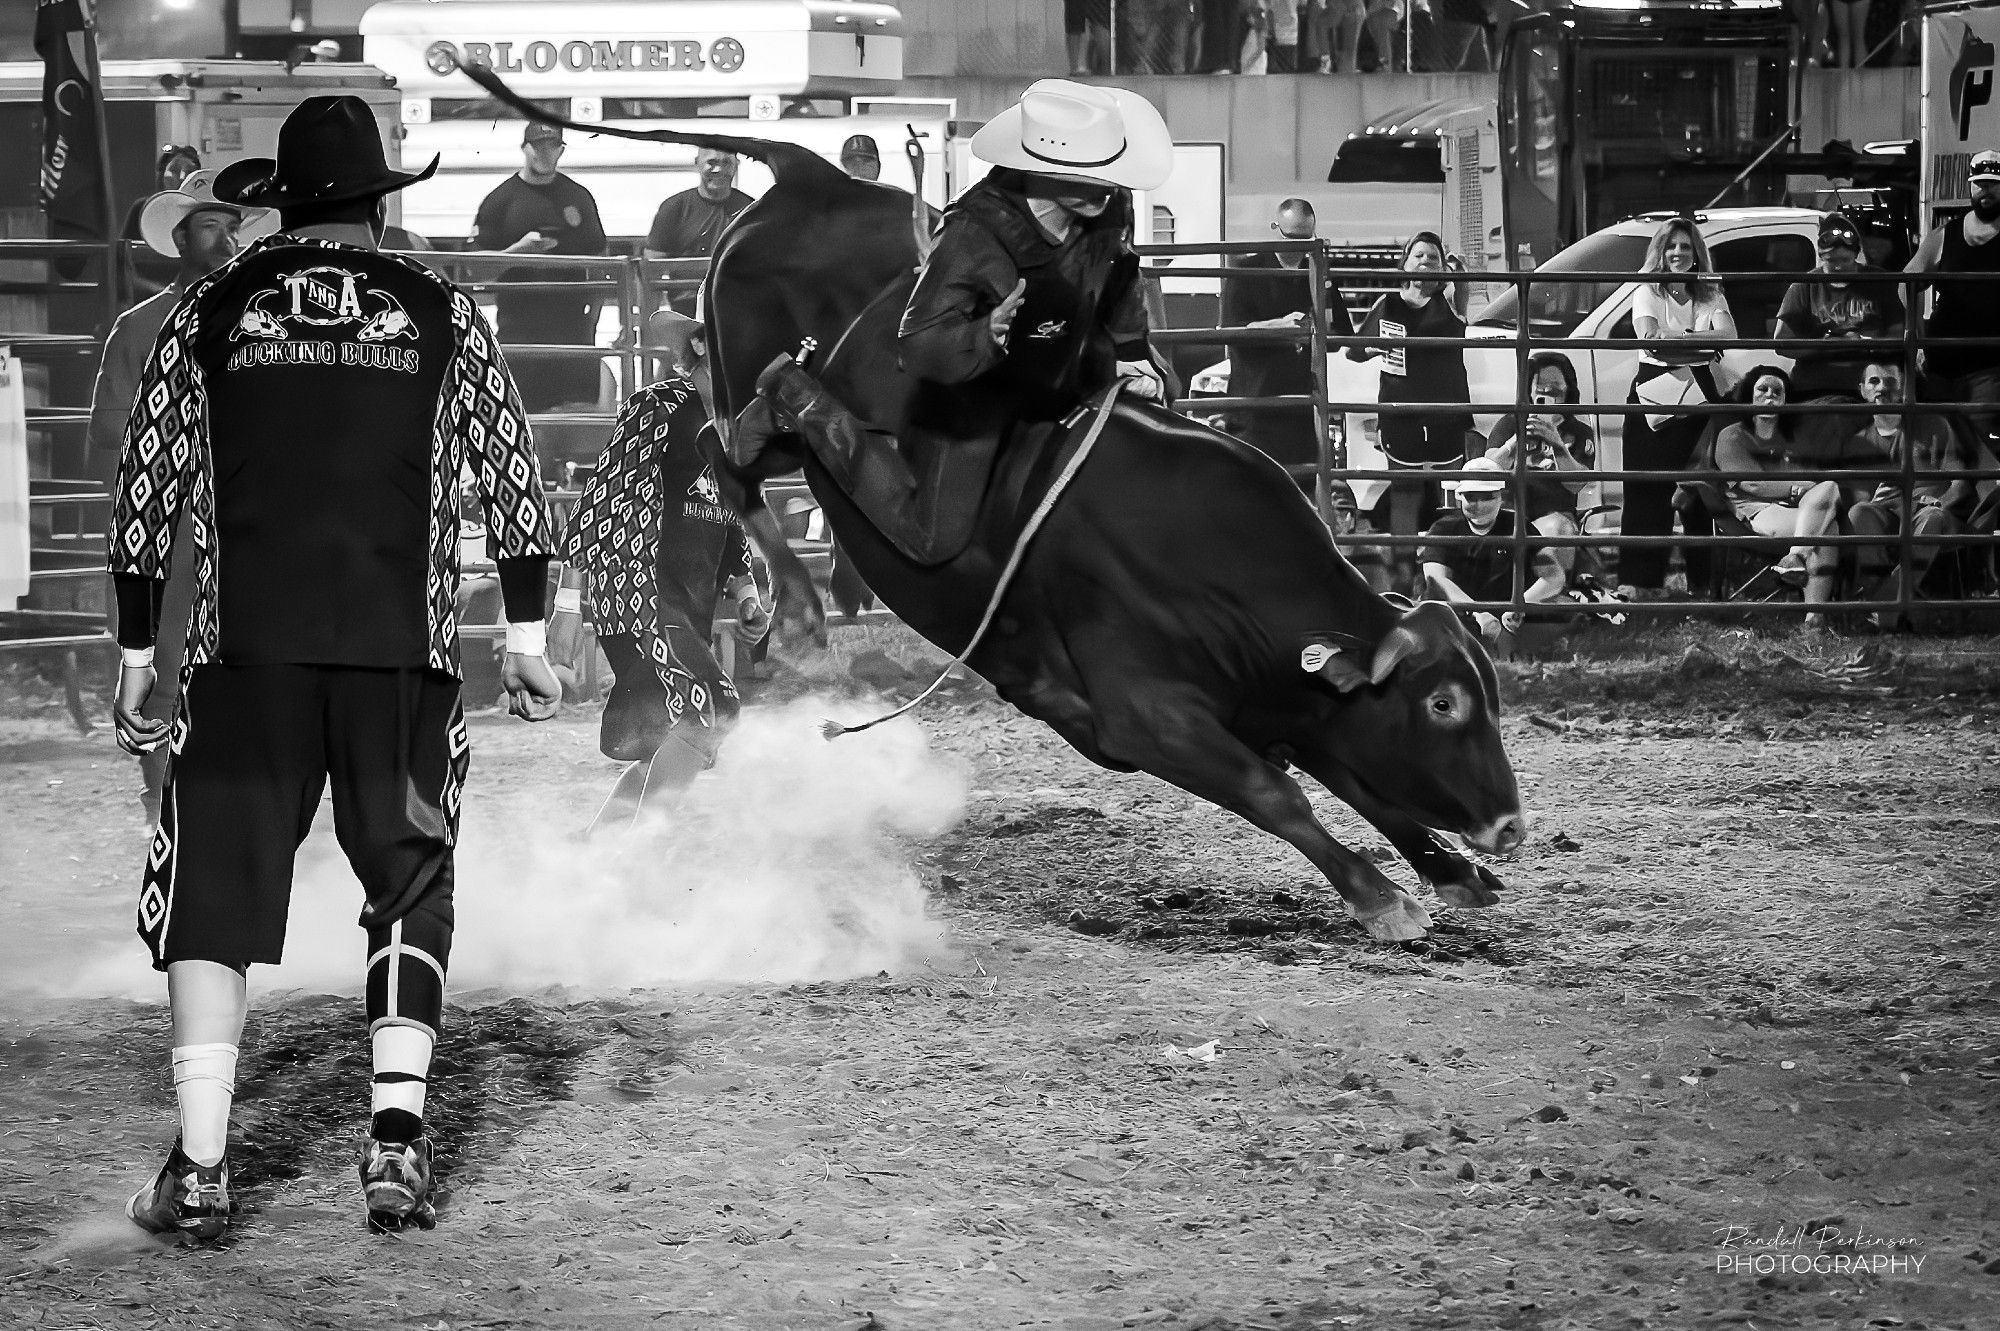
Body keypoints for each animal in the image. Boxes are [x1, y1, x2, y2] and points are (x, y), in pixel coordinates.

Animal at [464, 64, 1528, 943]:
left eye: (1481, 692)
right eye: (1441, 702)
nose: (1511, 824)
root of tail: (811, 177)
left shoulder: (1291, 700)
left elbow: (1365, 778)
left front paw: (1448, 869)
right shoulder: (1147, 717)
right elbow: (1279, 795)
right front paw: (1381, 895)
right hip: (736, 372)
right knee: (732, 458)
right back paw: (798, 577)